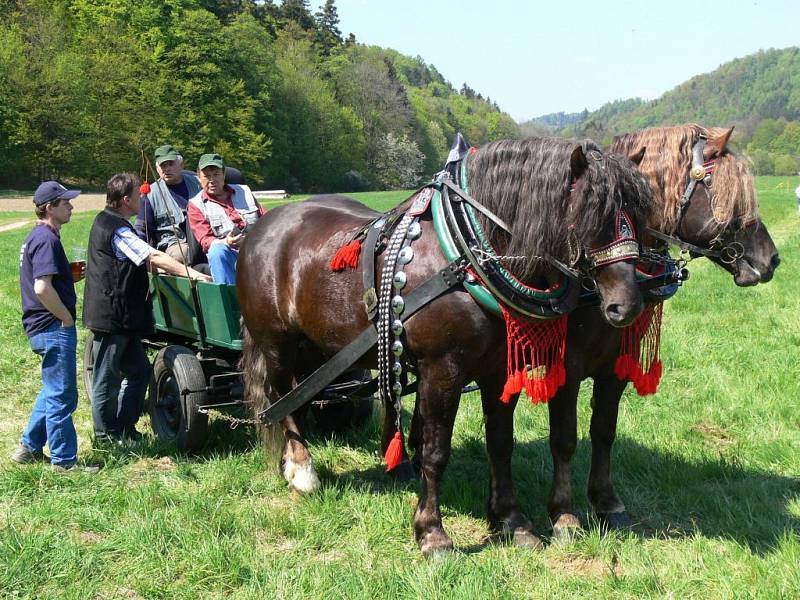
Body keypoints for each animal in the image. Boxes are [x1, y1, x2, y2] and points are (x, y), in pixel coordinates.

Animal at [238, 136, 656, 552]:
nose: (628, 304)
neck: (464, 257)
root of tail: (263, 226)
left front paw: (512, 520)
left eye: (639, 217)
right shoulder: (442, 370)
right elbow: (436, 452)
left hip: (317, 348)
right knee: (282, 397)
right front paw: (432, 533)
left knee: (301, 395)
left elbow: (500, 443)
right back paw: (302, 470)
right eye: (592, 214)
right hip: (277, 344)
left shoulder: (497, 372)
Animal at [540, 124, 780, 536]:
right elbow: (565, 438)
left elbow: (603, 429)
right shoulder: (566, 369)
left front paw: (606, 501)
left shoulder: (617, 365)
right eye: (731, 197)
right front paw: (564, 513)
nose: (773, 259)